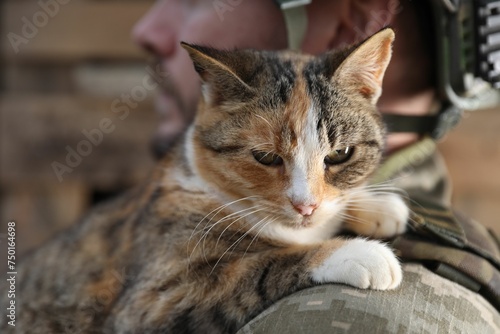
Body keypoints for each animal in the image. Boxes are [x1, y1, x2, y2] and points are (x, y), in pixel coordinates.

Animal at [0, 26, 408, 334]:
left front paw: (379, 206)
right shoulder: (152, 301)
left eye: (340, 155)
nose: (306, 205)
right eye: (266, 157)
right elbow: (261, 265)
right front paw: (358, 253)